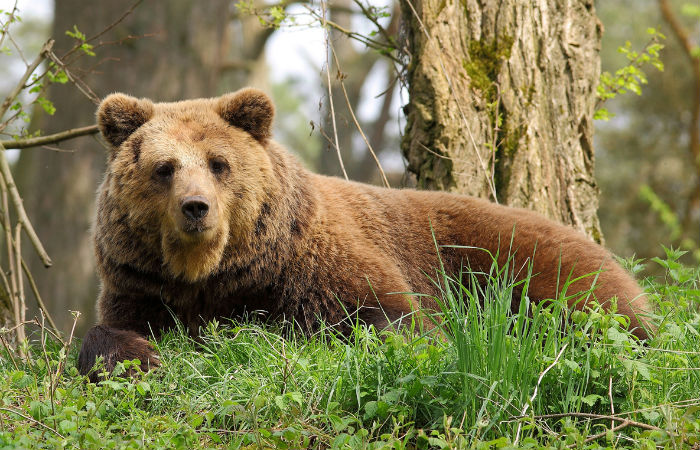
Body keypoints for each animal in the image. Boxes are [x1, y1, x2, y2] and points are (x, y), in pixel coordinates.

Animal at [79, 87, 652, 380]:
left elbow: (389, 321)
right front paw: (140, 355)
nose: (195, 208)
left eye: (219, 164)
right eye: (164, 167)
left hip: (527, 266)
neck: (216, 274)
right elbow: (109, 331)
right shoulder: (141, 283)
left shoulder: (315, 264)